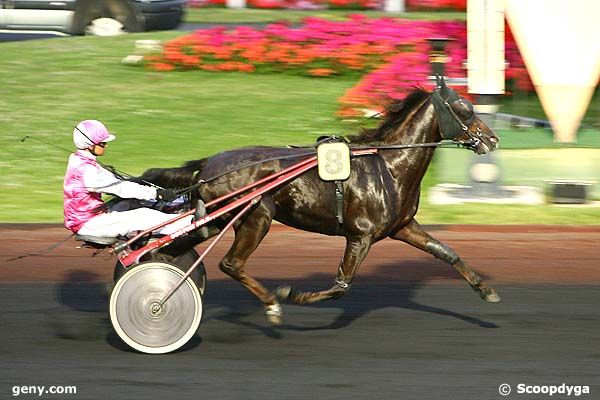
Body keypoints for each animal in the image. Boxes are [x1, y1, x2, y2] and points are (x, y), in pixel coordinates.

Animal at [141, 79, 502, 324]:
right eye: (464, 108)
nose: (493, 139)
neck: (388, 166)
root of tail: (209, 163)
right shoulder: (360, 236)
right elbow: (341, 285)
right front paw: (292, 294)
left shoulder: (402, 227)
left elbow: (447, 252)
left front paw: (486, 290)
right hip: (255, 216)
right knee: (231, 263)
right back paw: (270, 304)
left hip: (219, 217)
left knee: (173, 247)